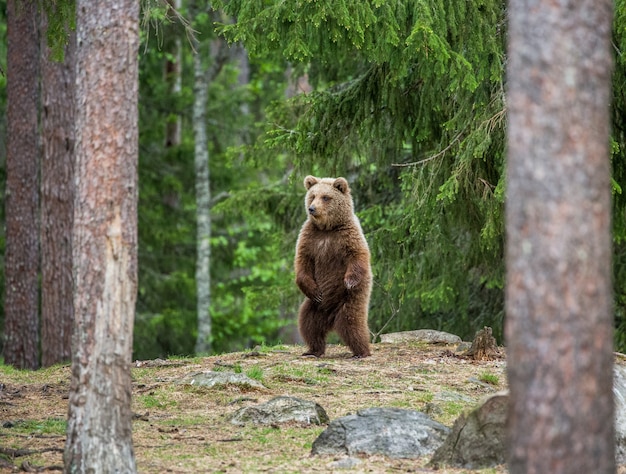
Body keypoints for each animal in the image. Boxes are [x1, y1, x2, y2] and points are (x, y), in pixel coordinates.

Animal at [292, 176, 370, 358]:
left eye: (326, 197)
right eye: (313, 195)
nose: (312, 208)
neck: (327, 228)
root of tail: (331, 317)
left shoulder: (348, 235)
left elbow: (358, 255)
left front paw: (349, 281)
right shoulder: (310, 237)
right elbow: (302, 262)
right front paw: (314, 290)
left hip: (350, 301)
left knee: (352, 324)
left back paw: (362, 351)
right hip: (313, 307)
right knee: (309, 324)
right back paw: (313, 350)